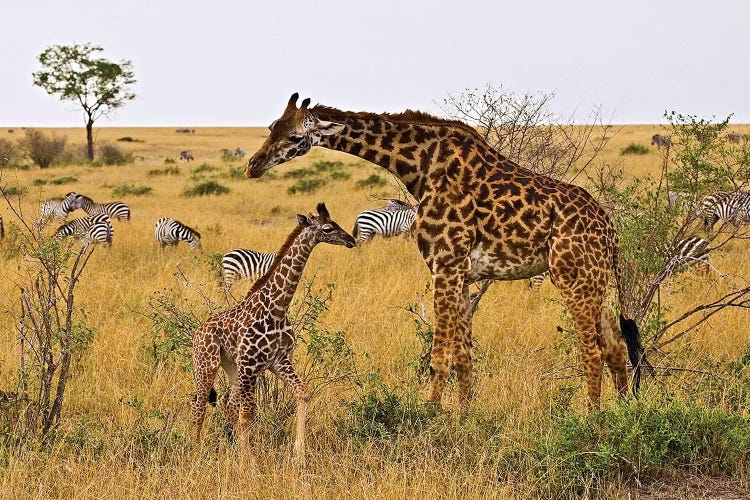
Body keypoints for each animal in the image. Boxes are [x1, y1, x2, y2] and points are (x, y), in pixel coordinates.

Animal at [194, 202, 358, 458]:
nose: (351, 240)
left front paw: (299, 454)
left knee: (226, 402)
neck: (278, 309)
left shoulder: (278, 360)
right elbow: (247, 414)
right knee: (200, 404)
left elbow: (302, 391)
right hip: (207, 364)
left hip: (231, 367)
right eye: (328, 228)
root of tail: (197, 331)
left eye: (336, 223)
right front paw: (249, 463)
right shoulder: (250, 365)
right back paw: (195, 450)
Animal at [247, 93, 648, 410]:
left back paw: (592, 421)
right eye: (271, 126)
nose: (254, 165)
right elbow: (464, 356)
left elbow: (439, 356)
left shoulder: (444, 264)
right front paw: (463, 416)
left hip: (572, 277)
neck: (421, 166)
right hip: (596, 280)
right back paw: (623, 414)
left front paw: (431, 415)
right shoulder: (464, 274)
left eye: (295, 136)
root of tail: (610, 229)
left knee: (593, 351)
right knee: (616, 347)